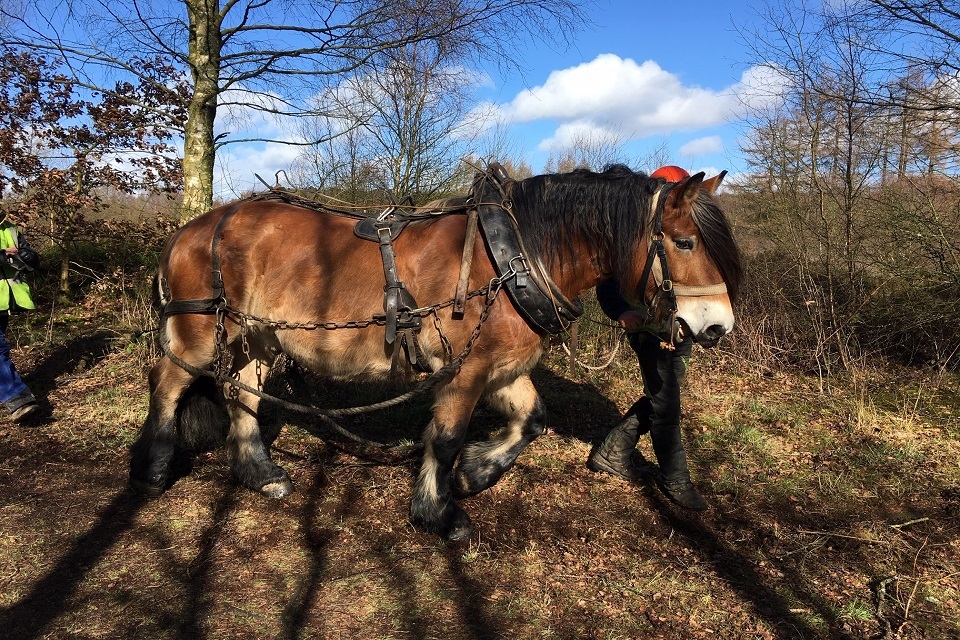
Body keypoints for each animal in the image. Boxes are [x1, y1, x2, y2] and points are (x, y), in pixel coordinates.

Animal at [129, 163, 742, 542]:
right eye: (685, 242)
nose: (715, 327)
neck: (510, 257)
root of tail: (192, 228)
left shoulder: (502, 369)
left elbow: (532, 420)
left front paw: (475, 473)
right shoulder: (464, 371)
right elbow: (445, 438)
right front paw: (439, 511)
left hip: (256, 337)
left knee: (245, 394)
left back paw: (259, 473)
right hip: (199, 331)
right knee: (167, 381)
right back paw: (154, 468)